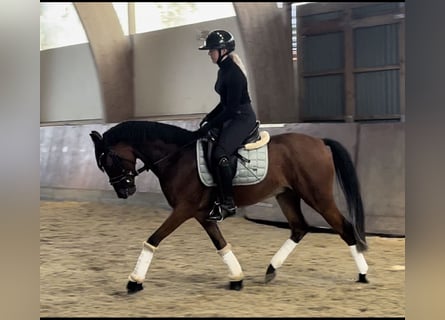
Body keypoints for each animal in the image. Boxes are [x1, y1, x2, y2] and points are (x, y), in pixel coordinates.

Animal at [89, 120, 368, 296]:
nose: (124, 192)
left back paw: (363, 275)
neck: (177, 158)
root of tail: (320, 142)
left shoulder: (183, 210)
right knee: (299, 228)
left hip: (317, 196)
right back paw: (271, 270)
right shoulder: (202, 214)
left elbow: (153, 239)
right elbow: (220, 244)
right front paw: (237, 278)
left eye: (108, 160)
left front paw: (133, 282)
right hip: (286, 195)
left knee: (345, 228)